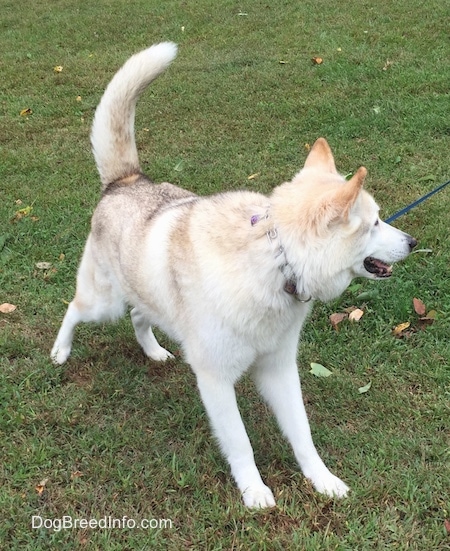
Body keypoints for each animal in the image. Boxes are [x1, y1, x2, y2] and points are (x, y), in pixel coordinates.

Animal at [51, 42, 416, 508]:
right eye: (374, 223)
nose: (412, 241)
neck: (275, 261)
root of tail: (127, 180)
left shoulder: (279, 369)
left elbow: (302, 434)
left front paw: (322, 480)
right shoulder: (216, 380)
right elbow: (240, 443)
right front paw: (254, 491)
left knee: (138, 317)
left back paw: (154, 352)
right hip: (103, 303)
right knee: (74, 308)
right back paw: (60, 351)